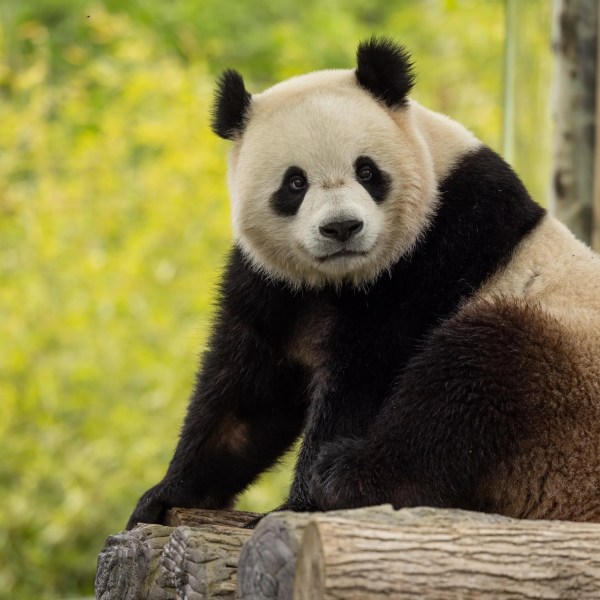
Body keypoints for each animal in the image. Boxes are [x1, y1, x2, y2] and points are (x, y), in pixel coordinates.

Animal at [126, 37, 600, 528]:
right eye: (295, 183)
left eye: (367, 171)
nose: (341, 228)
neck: (340, 279)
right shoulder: (275, 284)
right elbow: (247, 393)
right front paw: (165, 495)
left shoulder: (437, 251)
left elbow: (364, 377)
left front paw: (298, 504)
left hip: (566, 382)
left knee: (472, 374)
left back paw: (345, 475)